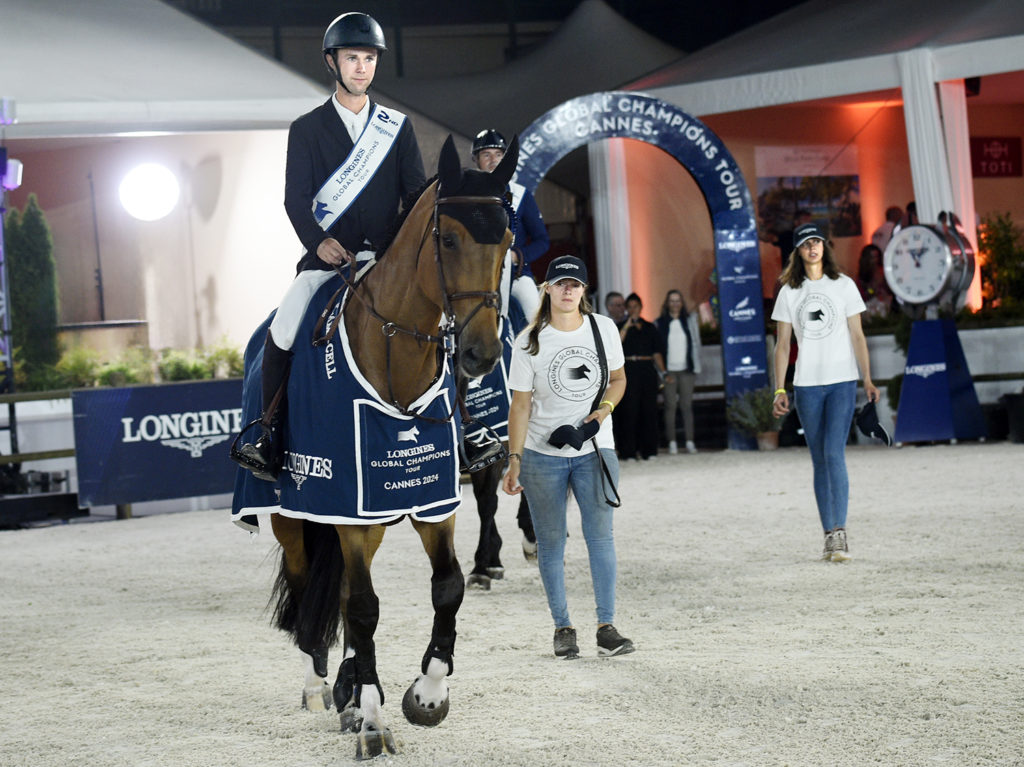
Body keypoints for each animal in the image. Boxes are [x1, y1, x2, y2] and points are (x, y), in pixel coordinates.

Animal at [234, 134, 520, 757]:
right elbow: (364, 609)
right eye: (447, 238)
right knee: (309, 596)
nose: (482, 354)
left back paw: (346, 687)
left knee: (340, 593)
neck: (396, 355)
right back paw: (321, 687)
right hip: (295, 515)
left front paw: (427, 695)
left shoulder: (428, 501)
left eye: (507, 242)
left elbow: (447, 588)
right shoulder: (348, 510)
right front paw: (371, 719)